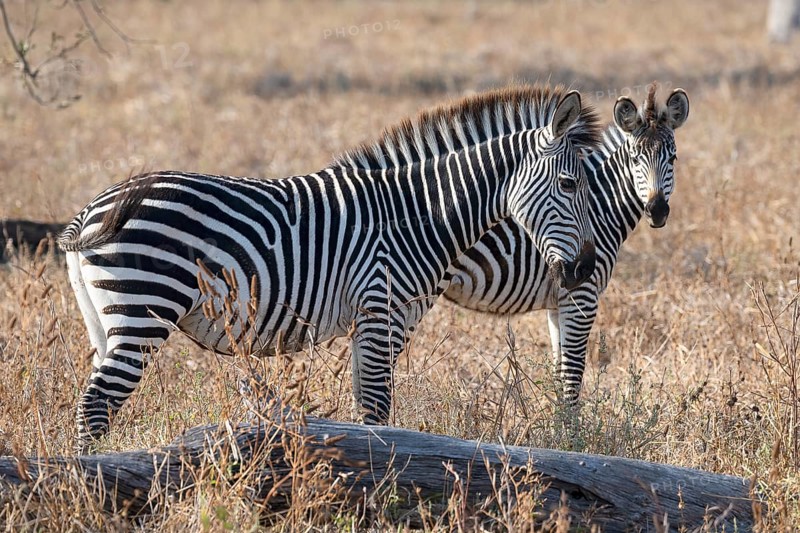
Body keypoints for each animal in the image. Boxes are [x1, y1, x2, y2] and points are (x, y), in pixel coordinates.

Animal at [58, 84, 602, 451]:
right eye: (570, 185)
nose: (583, 270)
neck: (417, 213)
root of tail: (90, 211)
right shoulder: (382, 310)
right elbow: (378, 409)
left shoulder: (379, 320)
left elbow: (368, 406)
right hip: (143, 310)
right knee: (97, 404)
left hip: (107, 321)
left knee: (95, 400)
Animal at [442, 85, 690, 402]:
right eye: (635, 159)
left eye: (672, 159)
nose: (657, 210)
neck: (598, 208)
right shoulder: (581, 295)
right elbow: (572, 377)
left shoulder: (557, 302)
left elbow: (559, 373)